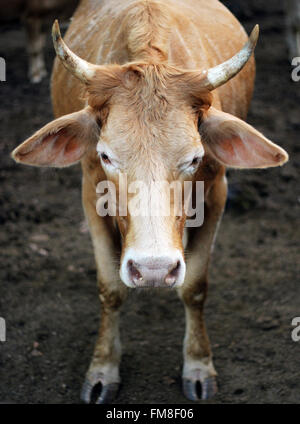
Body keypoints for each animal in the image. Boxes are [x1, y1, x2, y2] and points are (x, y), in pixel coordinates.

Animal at [11, 0, 288, 404]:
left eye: (194, 157)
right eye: (106, 155)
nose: (154, 269)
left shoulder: (216, 191)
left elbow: (195, 286)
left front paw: (198, 366)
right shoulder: (90, 191)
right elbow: (110, 288)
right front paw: (103, 369)